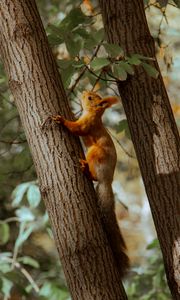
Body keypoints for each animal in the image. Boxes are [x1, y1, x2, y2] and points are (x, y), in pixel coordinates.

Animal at [48, 91, 129, 276]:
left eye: (91, 98)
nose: (84, 92)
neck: (94, 114)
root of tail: (107, 180)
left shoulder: (87, 125)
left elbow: (77, 129)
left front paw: (62, 120)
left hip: (94, 153)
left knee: (94, 175)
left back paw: (86, 169)